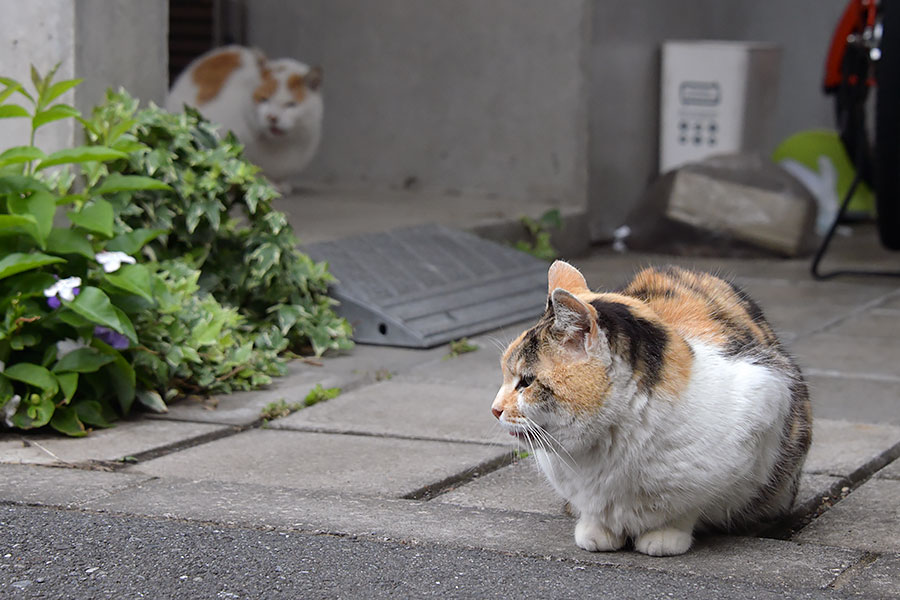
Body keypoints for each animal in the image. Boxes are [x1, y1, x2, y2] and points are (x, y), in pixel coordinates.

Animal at [496, 260, 812, 556]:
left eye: (526, 382)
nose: (494, 409)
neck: (610, 445)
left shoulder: (766, 396)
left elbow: (684, 508)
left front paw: (663, 535)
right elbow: (596, 510)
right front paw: (596, 529)